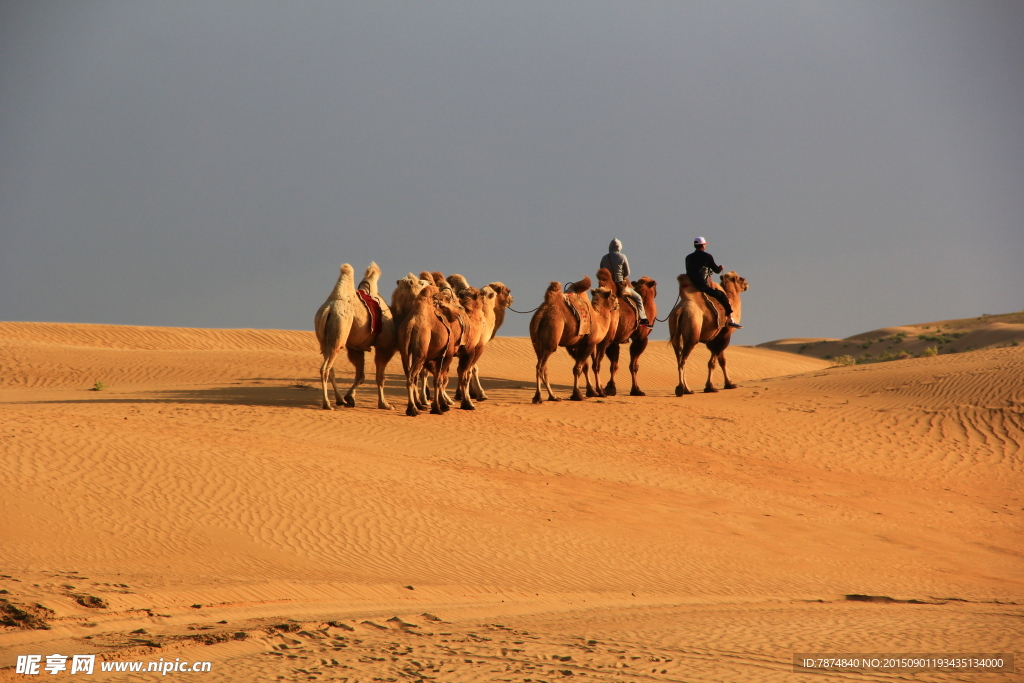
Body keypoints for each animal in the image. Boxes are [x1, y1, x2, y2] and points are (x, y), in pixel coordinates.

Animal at [311, 262, 395, 411]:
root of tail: (328, 309)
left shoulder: (357, 347)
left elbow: (361, 376)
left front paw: (349, 398)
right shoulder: (384, 346)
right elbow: (380, 377)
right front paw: (384, 404)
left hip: (324, 340)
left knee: (331, 369)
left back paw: (339, 400)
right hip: (339, 332)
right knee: (325, 369)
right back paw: (327, 404)